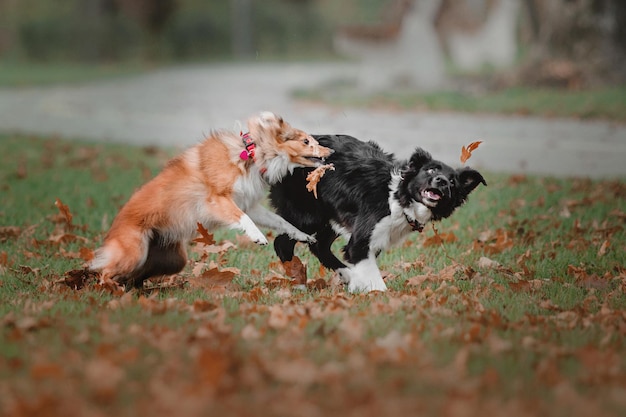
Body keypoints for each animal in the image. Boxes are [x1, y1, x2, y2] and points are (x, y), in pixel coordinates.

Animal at [91, 114, 332, 290]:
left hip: (172, 259)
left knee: (135, 275)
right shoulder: (217, 201)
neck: (251, 154)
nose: (331, 151)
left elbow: (281, 221)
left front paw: (302, 235)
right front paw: (258, 237)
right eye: (306, 141)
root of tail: (112, 229)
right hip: (134, 252)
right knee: (105, 271)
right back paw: (107, 289)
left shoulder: (248, 204)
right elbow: (243, 218)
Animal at [266, 135, 482, 290]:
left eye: (452, 181)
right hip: (308, 217)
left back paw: (347, 276)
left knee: (319, 246)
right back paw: (299, 283)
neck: (397, 198)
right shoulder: (362, 240)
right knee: (282, 243)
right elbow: (373, 277)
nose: (442, 181)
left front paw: (358, 284)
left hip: (331, 218)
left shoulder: (374, 239)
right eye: (430, 170)